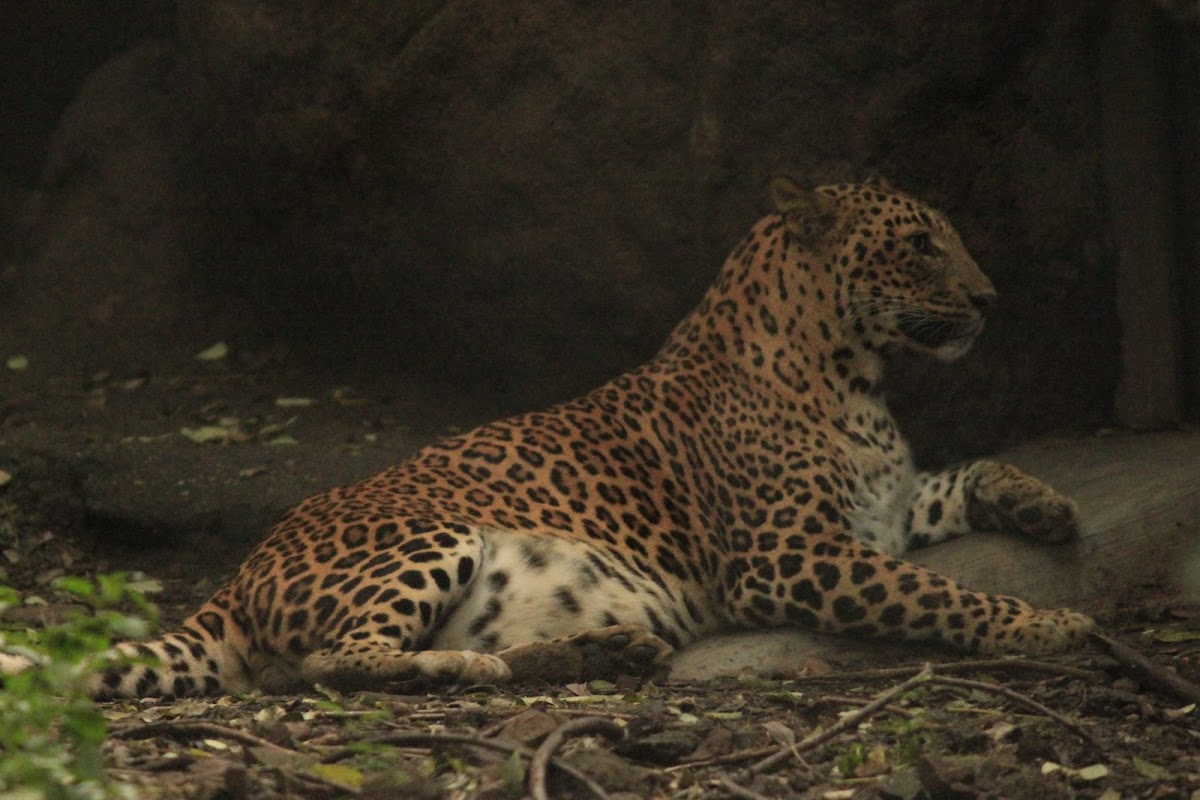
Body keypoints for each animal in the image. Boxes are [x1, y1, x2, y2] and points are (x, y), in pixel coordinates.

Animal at [10, 176, 1095, 698]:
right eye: (919, 245)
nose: (990, 299)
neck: (856, 373)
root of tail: (235, 578)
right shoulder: (789, 556)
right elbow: (938, 594)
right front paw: (1046, 626)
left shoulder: (875, 514)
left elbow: (963, 476)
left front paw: (1045, 501)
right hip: (432, 532)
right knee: (336, 664)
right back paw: (485, 671)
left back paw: (597, 655)